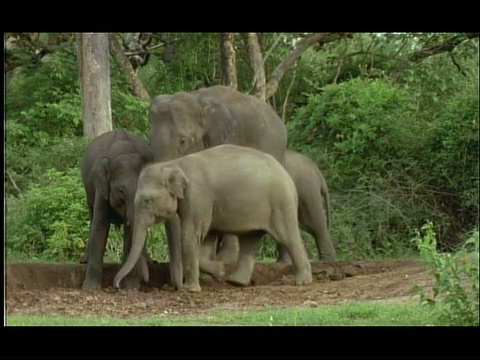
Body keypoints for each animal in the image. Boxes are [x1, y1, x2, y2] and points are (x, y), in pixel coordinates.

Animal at [79, 129, 153, 290]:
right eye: (121, 191)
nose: (145, 280)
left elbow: (131, 234)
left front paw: (131, 287)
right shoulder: (101, 190)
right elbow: (99, 228)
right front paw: (90, 288)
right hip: (88, 191)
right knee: (92, 216)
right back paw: (84, 260)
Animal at [114, 143, 314, 292]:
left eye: (147, 200)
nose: (116, 286)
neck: (175, 163)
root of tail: (287, 175)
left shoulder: (197, 197)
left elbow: (190, 236)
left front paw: (192, 289)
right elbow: (206, 239)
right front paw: (220, 270)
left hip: (280, 202)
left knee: (288, 237)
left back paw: (301, 282)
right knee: (249, 240)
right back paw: (236, 281)